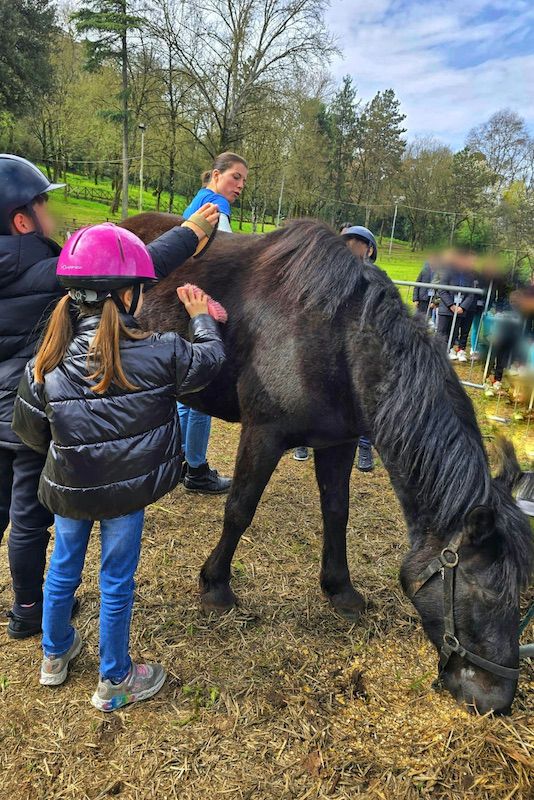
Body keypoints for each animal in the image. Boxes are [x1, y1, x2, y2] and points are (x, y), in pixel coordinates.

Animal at [121, 213, 533, 715]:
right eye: (485, 589)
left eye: (521, 592)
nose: (497, 700)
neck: (338, 341)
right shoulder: (263, 434)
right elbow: (240, 509)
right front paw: (216, 587)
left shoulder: (338, 442)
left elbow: (337, 513)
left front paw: (340, 589)